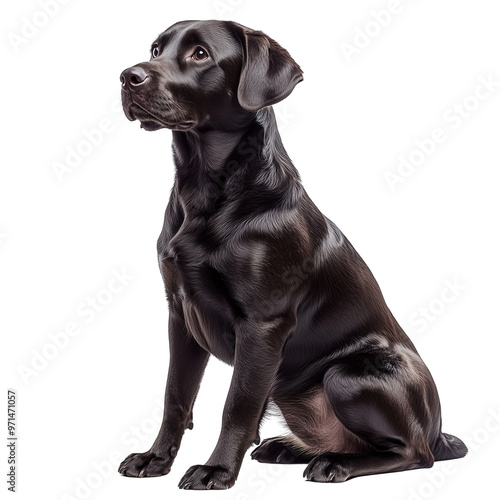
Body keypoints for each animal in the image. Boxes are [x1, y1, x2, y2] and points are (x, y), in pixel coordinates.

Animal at [118, 19, 468, 488]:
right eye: (156, 49)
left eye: (200, 54)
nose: (128, 77)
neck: (207, 188)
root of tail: (438, 428)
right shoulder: (180, 313)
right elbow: (176, 395)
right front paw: (155, 458)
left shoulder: (263, 324)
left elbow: (237, 404)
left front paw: (217, 470)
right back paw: (287, 448)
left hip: (347, 375)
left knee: (414, 452)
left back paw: (335, 464)